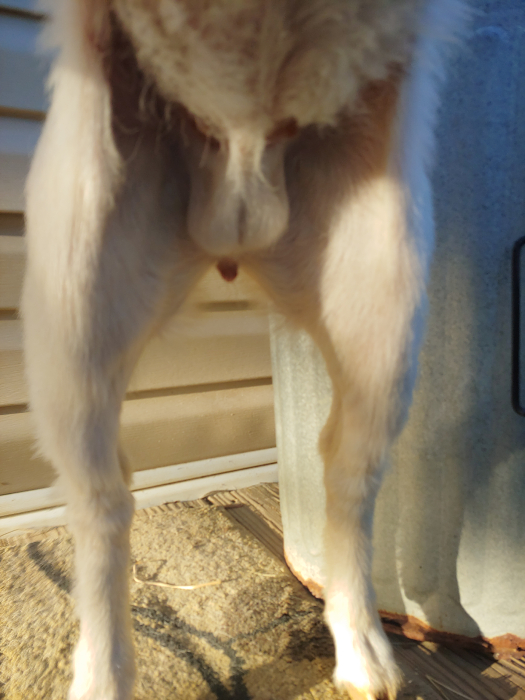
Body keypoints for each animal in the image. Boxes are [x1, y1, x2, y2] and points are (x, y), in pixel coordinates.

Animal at [22, 1, 465, 698]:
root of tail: (239, 213)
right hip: (75, 302)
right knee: (103, 508)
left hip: (383, 312)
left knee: (348, 481)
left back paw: (362, 651)